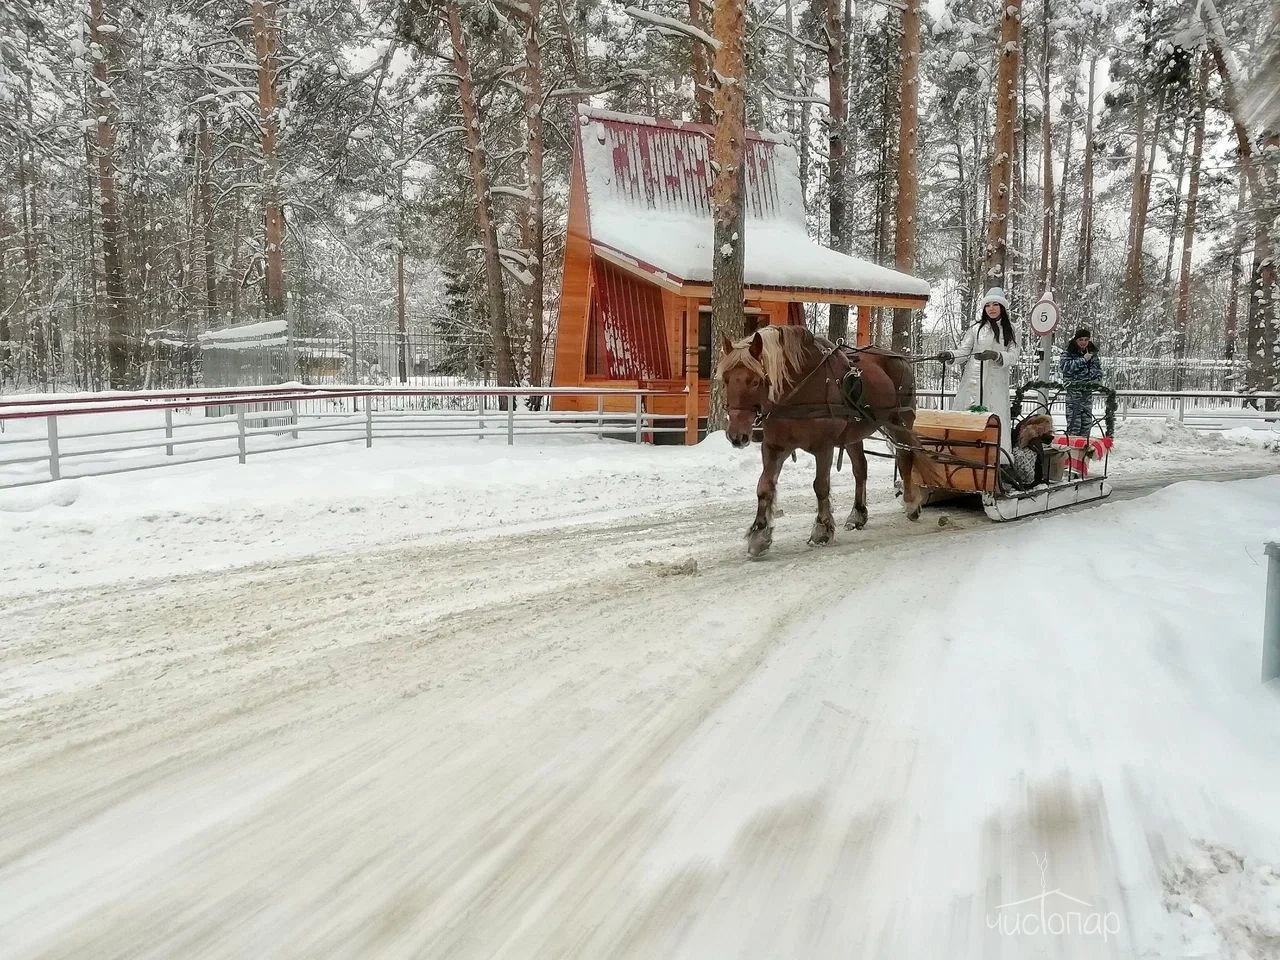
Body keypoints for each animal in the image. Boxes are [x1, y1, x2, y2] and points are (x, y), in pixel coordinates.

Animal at [721, 327, 931, 560]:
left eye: (756, 381)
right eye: (726, 379)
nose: (736, 436)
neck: (797, 391)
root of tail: (900, 358)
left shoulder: (824, 446)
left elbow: (820, 486)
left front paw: (822, 529)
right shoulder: (774, 447)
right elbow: (764, 487)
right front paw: (759, 534)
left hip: (899, 421)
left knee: (905, 458)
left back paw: (911, 503)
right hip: (854, 434)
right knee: (861, 469)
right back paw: (858, 513)